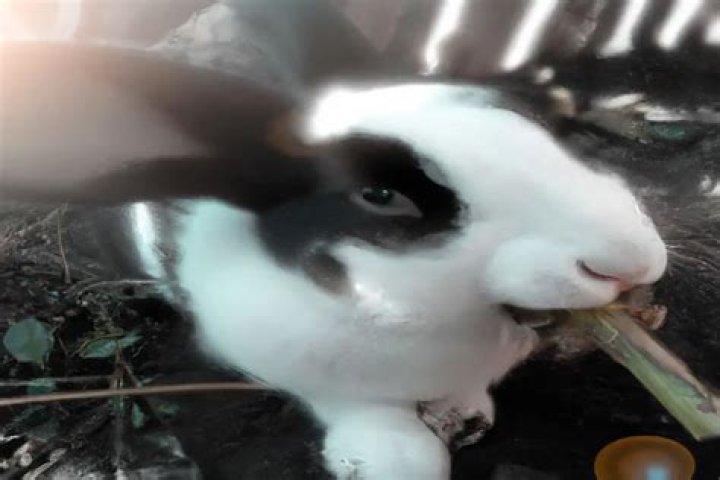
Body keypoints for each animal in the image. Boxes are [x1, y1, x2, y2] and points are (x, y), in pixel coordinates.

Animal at [1, 41, 667, 480]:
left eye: (543, 132)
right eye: (381, 196)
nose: (630, 261)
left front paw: (462, 414)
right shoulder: (297, 365)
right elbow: (376, 429)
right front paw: (389, 456)